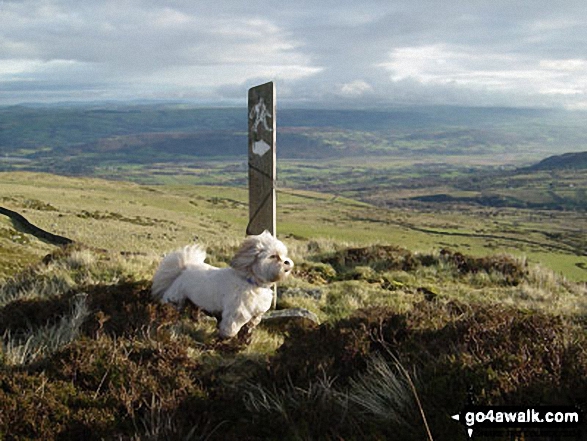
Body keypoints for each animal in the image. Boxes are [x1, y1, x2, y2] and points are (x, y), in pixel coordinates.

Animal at [149, 230, 292, 336]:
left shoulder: (256, 314)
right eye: (273, 256)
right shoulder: (236, 313)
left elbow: (250, 325)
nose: (287, 262)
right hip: (176, 299)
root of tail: (184, 268)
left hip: (194, 301)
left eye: (284, 255)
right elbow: (231, 328)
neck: (251, 280)